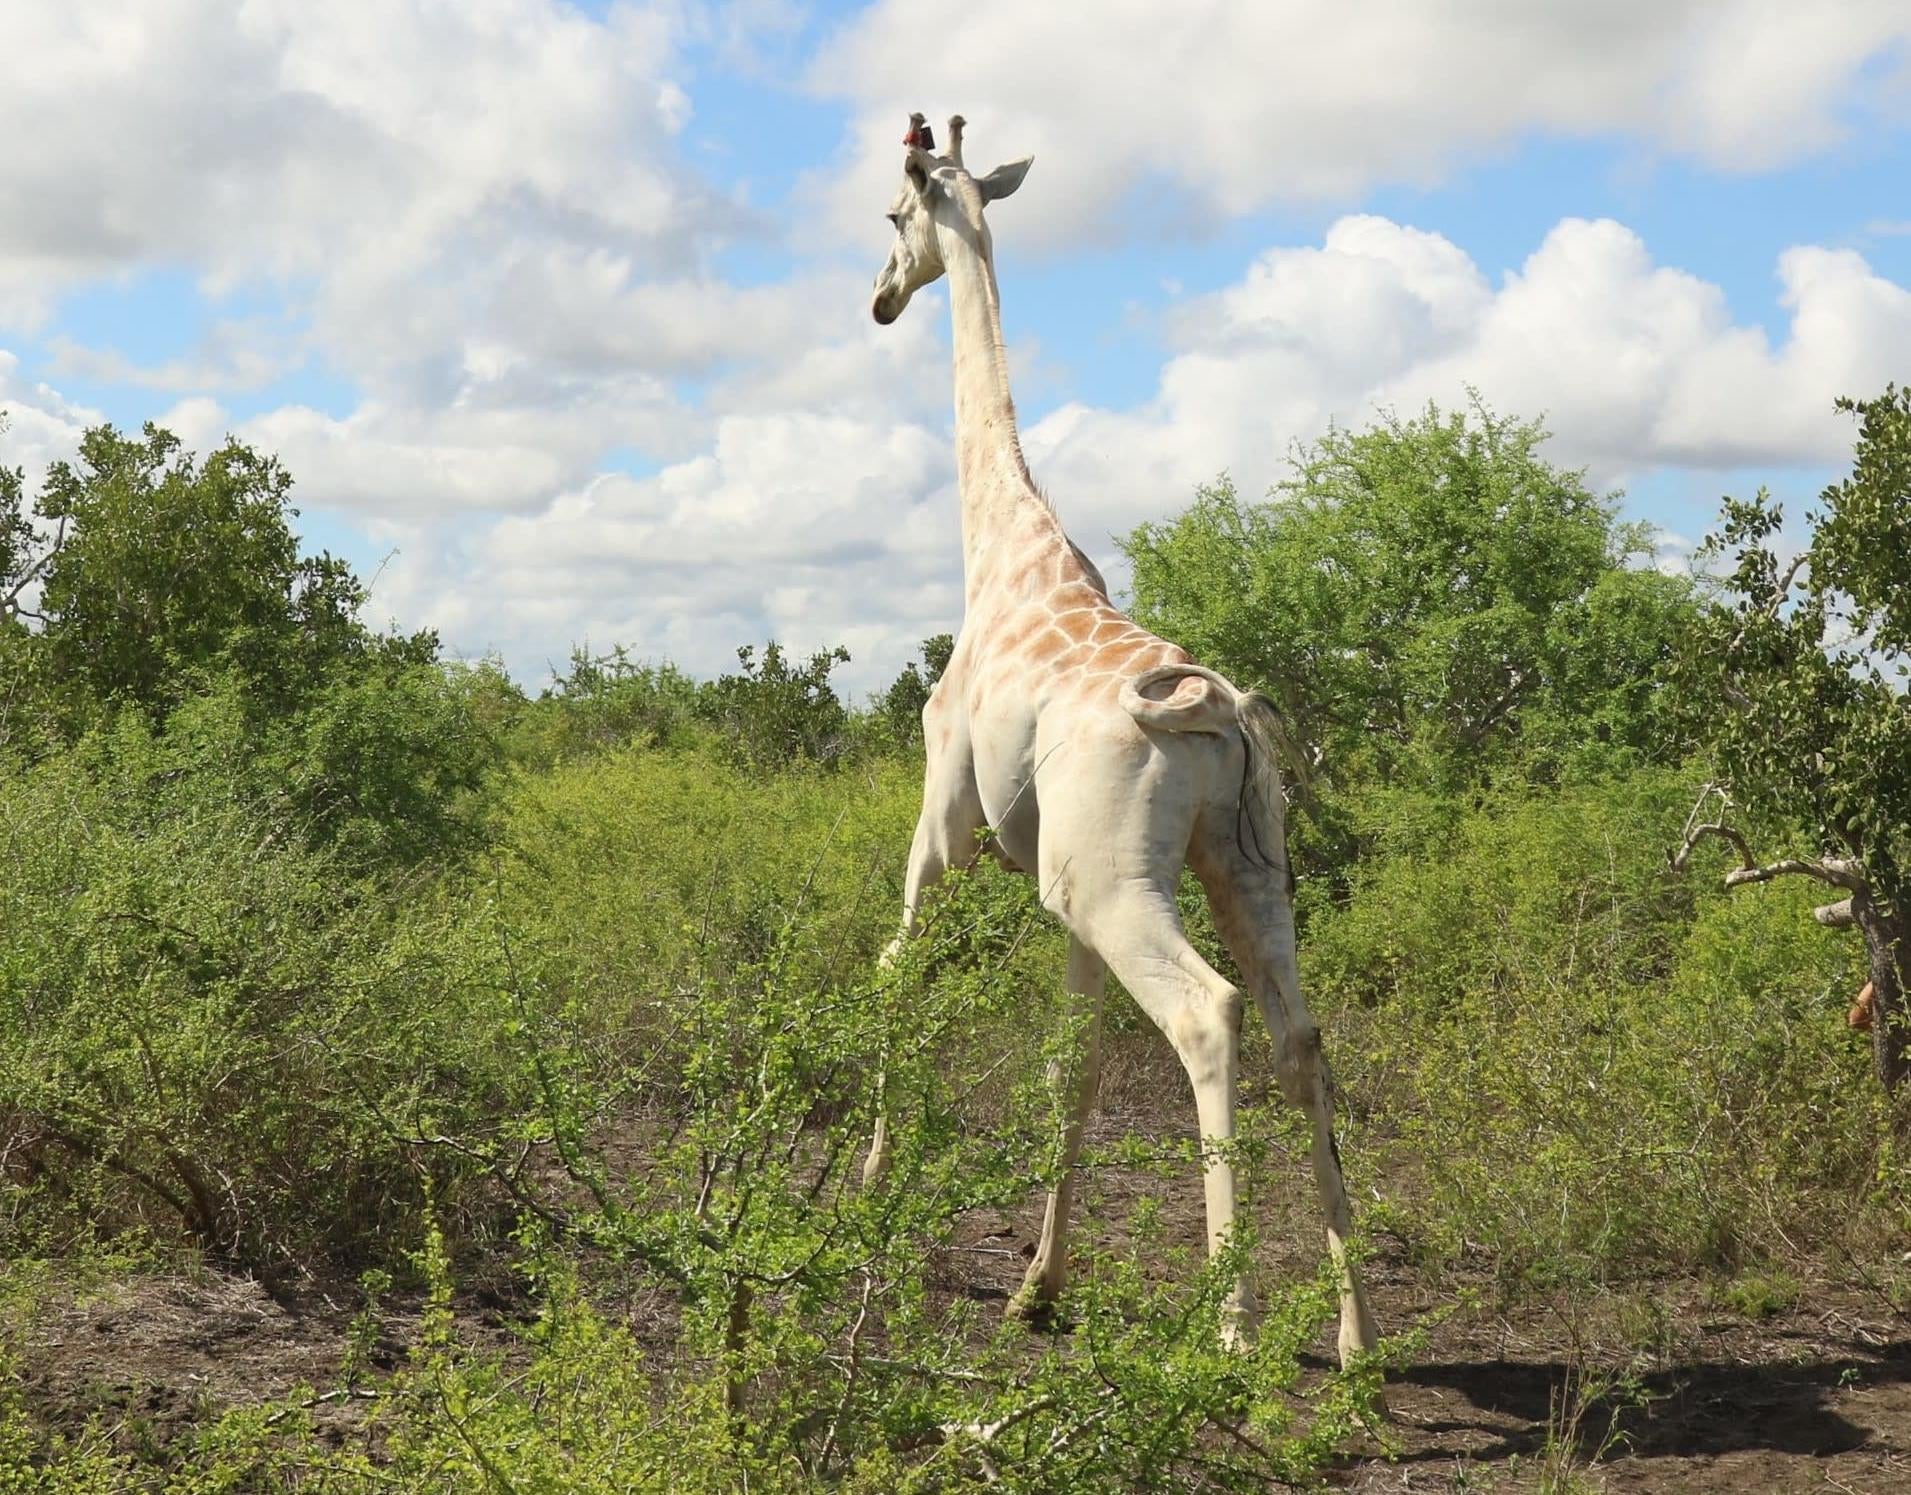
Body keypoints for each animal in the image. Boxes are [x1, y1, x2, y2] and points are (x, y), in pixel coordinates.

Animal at [863, 113, 1379, 1366]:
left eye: (894, 218)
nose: (881, 299)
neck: (999, 547)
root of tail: (1217, 712)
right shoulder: (1058, 896)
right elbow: (1072, 1064)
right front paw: (1037, 1287)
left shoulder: (946, 828)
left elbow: (896, 968)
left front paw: (867, 1185)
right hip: (1238, 862)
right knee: (1300, 1033)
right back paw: (1355, 1339)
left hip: (1116, 879)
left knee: (1209, 1015)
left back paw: (1234, 1327)